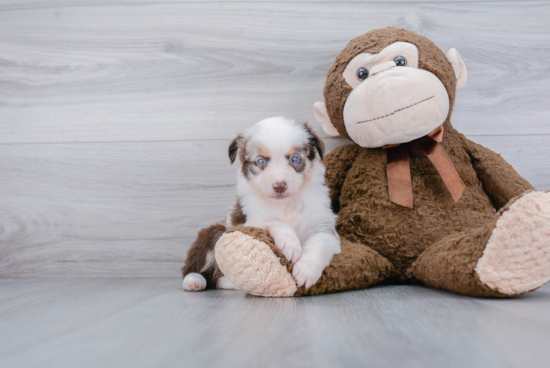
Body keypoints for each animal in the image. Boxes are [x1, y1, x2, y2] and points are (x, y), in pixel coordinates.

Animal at [184, 116, 340, 292]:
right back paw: (194, 280)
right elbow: (275, 222)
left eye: (294, 159)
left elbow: (319, 242)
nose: (279, 186)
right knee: (200, 268)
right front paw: (290, 244)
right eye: (261, 161)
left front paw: (306, 271)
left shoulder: (326, 228)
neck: (285, 205)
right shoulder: (250, 221)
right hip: (214, 232)